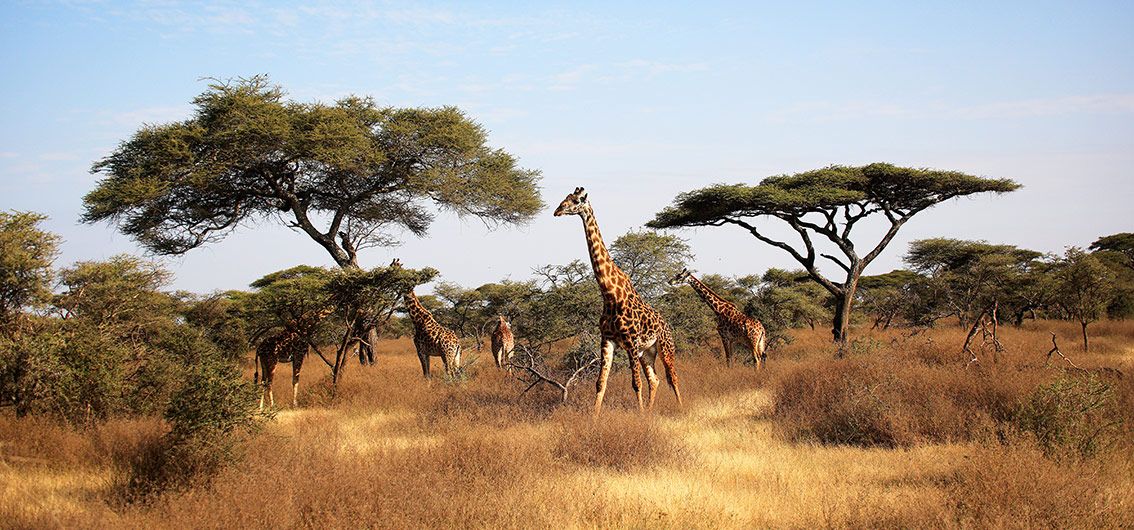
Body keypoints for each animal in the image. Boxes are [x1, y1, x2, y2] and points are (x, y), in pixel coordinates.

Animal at [554, 187, 682, 415]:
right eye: (565, 199)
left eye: (576, 201)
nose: (557, 210)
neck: (609, 294)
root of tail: (666, 324)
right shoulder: (607, 340)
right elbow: (600, 383)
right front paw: (594, 418)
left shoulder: (630, 342)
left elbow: (636, 383)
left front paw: (639, 416)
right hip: (647, 352)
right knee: (655, 380)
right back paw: (651, 411)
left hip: (665, 347)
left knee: (672, 377)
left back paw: (681, 408)